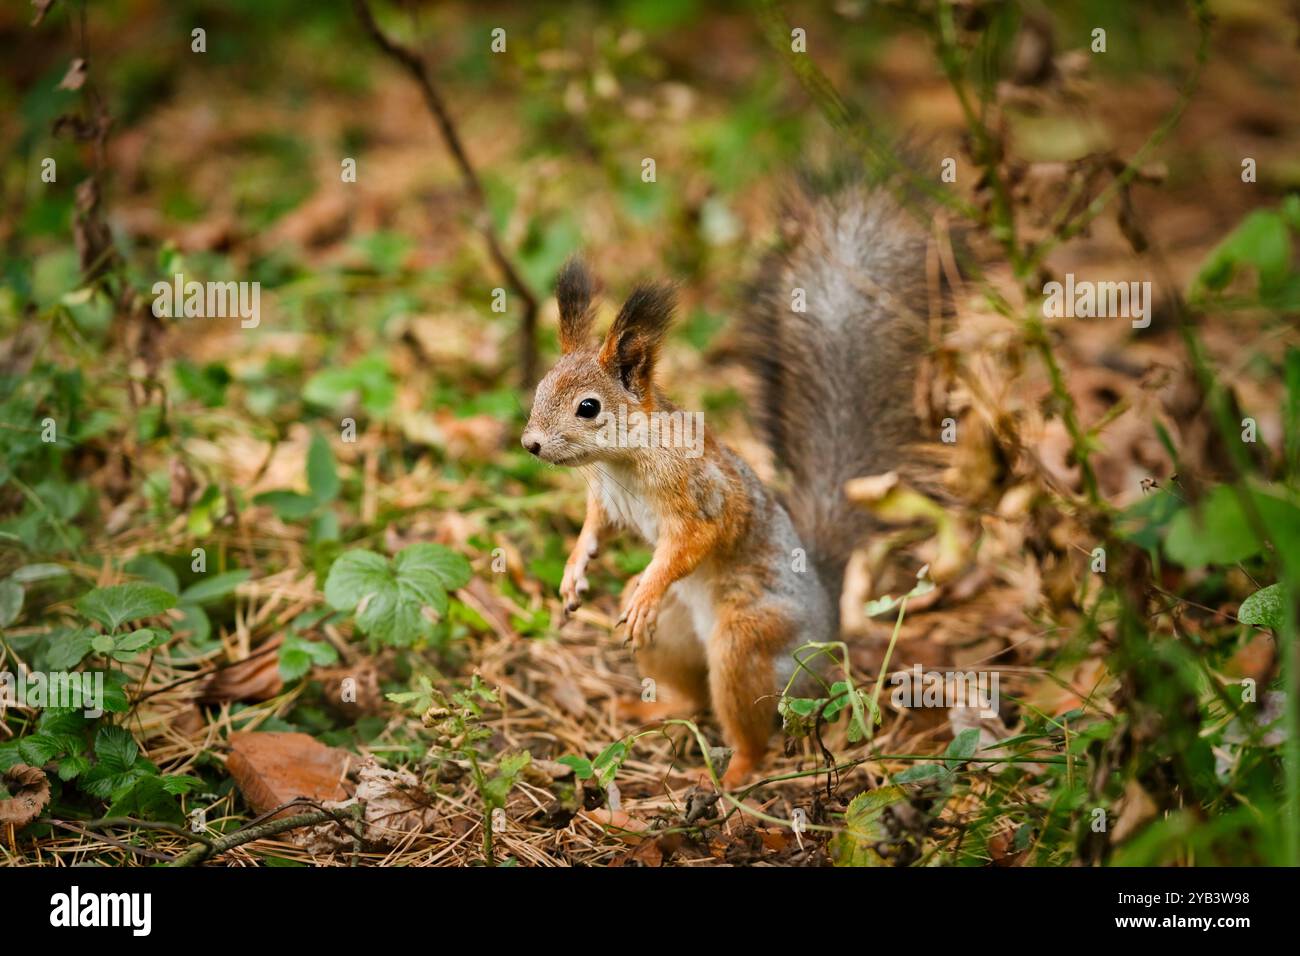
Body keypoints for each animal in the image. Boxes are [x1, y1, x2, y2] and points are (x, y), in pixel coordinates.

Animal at [521, 178, 931, 787]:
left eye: (588, 408)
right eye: (540, 388)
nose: (531, 444)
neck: (624, 459)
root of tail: (828, 620)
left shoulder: (701, 492)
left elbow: (697, 537)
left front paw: (647, 583)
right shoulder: (609, 498)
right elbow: (597, 526)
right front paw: (575, 569)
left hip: (747, 643)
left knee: (747, 724)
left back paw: (736, 772)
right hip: (672, 637)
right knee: (690, 697)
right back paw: (649, 705)